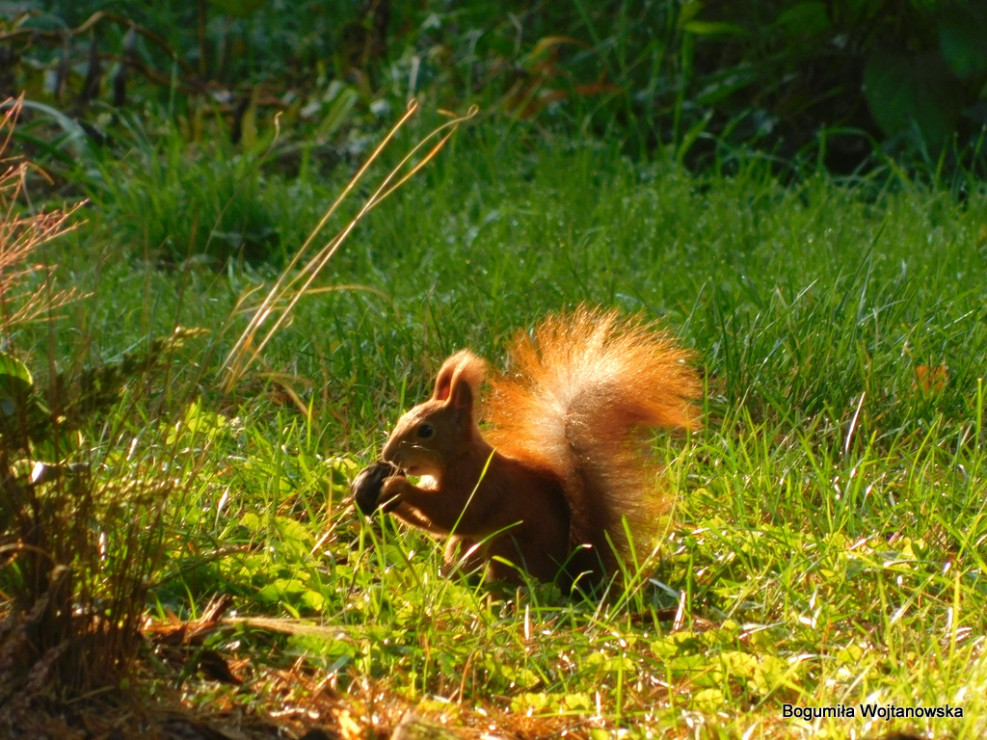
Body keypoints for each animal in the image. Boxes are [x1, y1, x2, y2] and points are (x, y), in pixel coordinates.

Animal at [356, 304, 704, 588]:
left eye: (425, 430)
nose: (388, 456)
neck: (457, 460)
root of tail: (571, 581)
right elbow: (442, 525)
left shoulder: (479, 485)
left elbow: (451, 514)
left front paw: (396, 488)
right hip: (473, 547)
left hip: (506, 547)